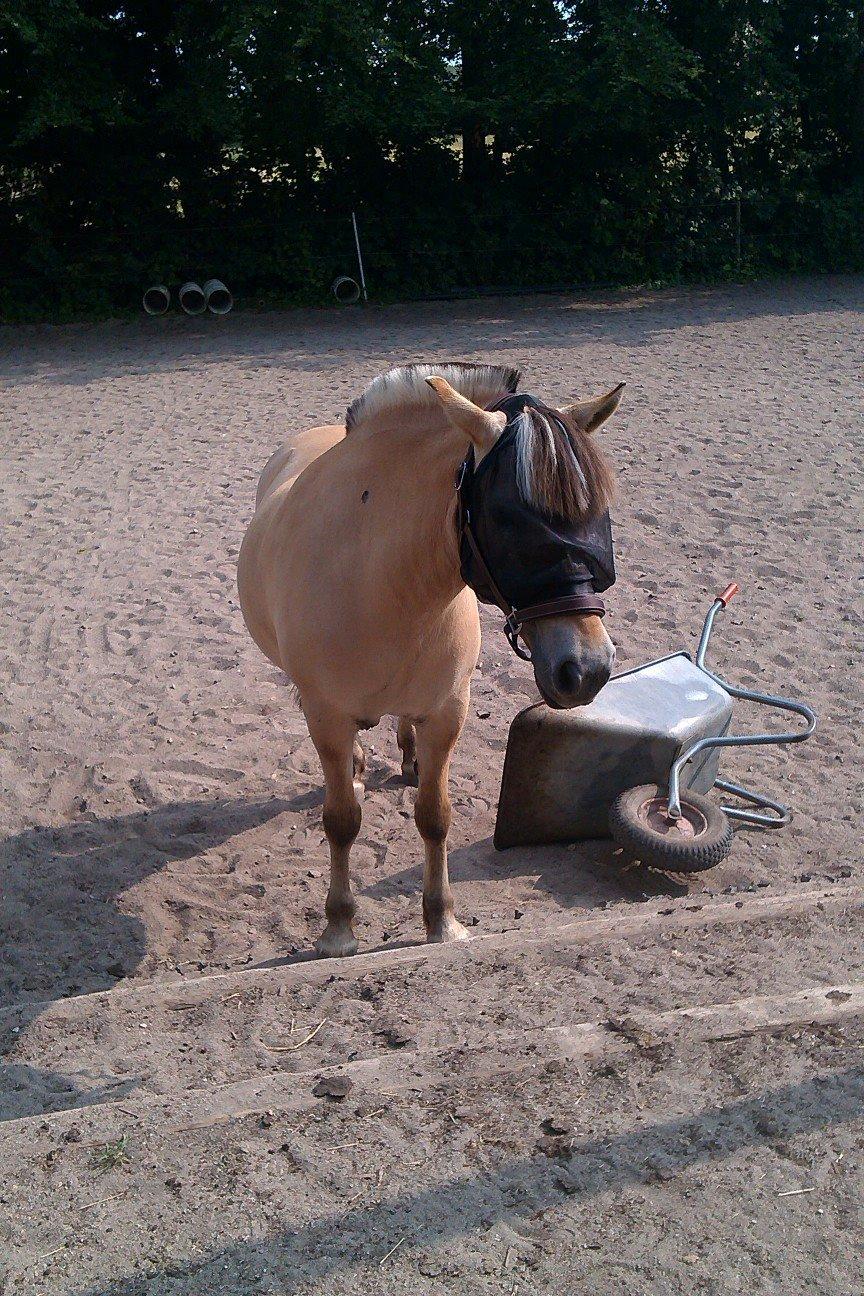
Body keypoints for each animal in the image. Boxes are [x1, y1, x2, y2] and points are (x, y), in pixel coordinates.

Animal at [239, 360, 624, 959]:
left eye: (598, 517)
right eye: (511, 522)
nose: (587, 669)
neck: (379, 581)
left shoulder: (446, 713)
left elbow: (435, 817)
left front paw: (442, 920)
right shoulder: (327, 718)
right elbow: (341, 822)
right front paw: (339, 929)